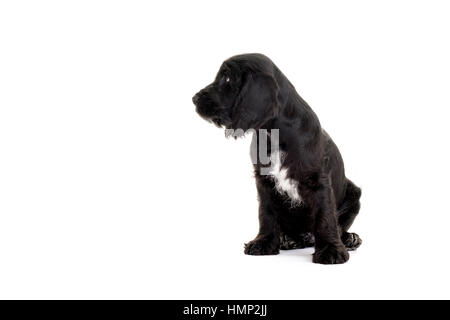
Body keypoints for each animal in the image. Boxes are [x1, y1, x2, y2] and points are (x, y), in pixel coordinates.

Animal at [192, 53, 360, 264]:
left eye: (228, 78)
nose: (194, 98)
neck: (274, 133)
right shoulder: (264, 181)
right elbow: (266, 214)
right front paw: (263, 242)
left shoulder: (318, 180)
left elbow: (325, 217)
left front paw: (331, 250)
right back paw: (291, 240)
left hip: (354, 193)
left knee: (338, 226)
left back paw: (349, 239)